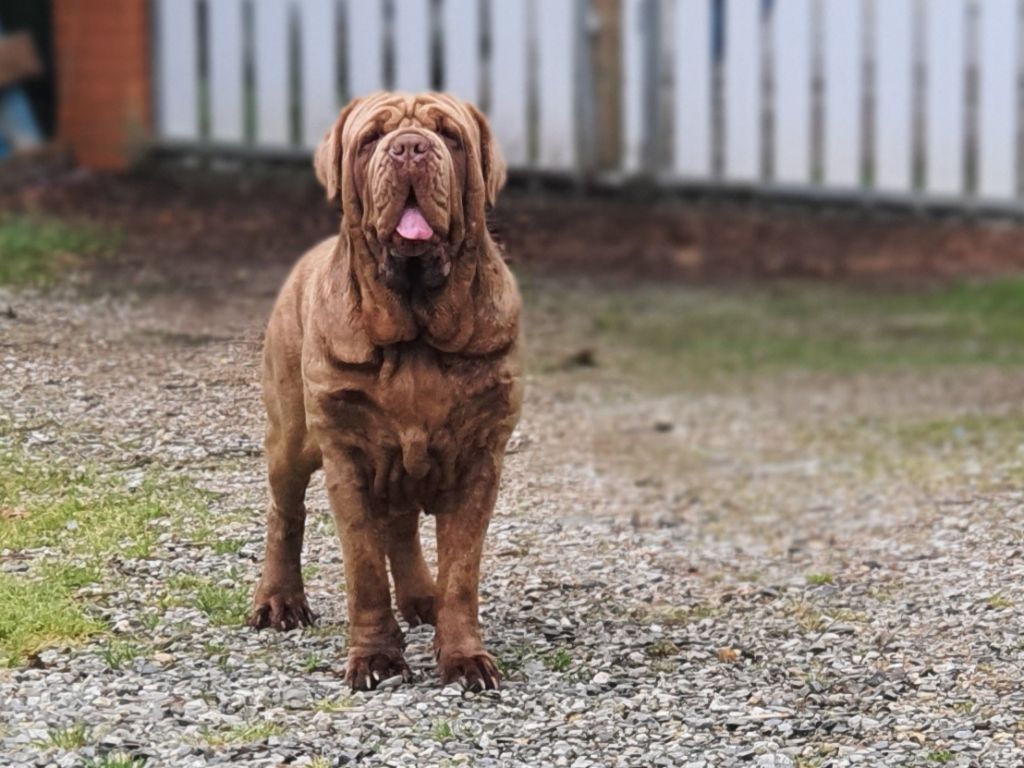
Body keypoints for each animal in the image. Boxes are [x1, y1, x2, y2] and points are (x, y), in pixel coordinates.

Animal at [245, 93, 520, 696]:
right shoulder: (346, 457)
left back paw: (421, 597)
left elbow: (461, 573)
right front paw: (375, 658)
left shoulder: (480, 459)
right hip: (290, 441)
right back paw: (278, 601)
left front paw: (464, 656)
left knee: (400, 528)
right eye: (371, 139)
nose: (411, 147)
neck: (414, 334)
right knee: (285, 514)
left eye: (450, 136)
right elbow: (364, 569)